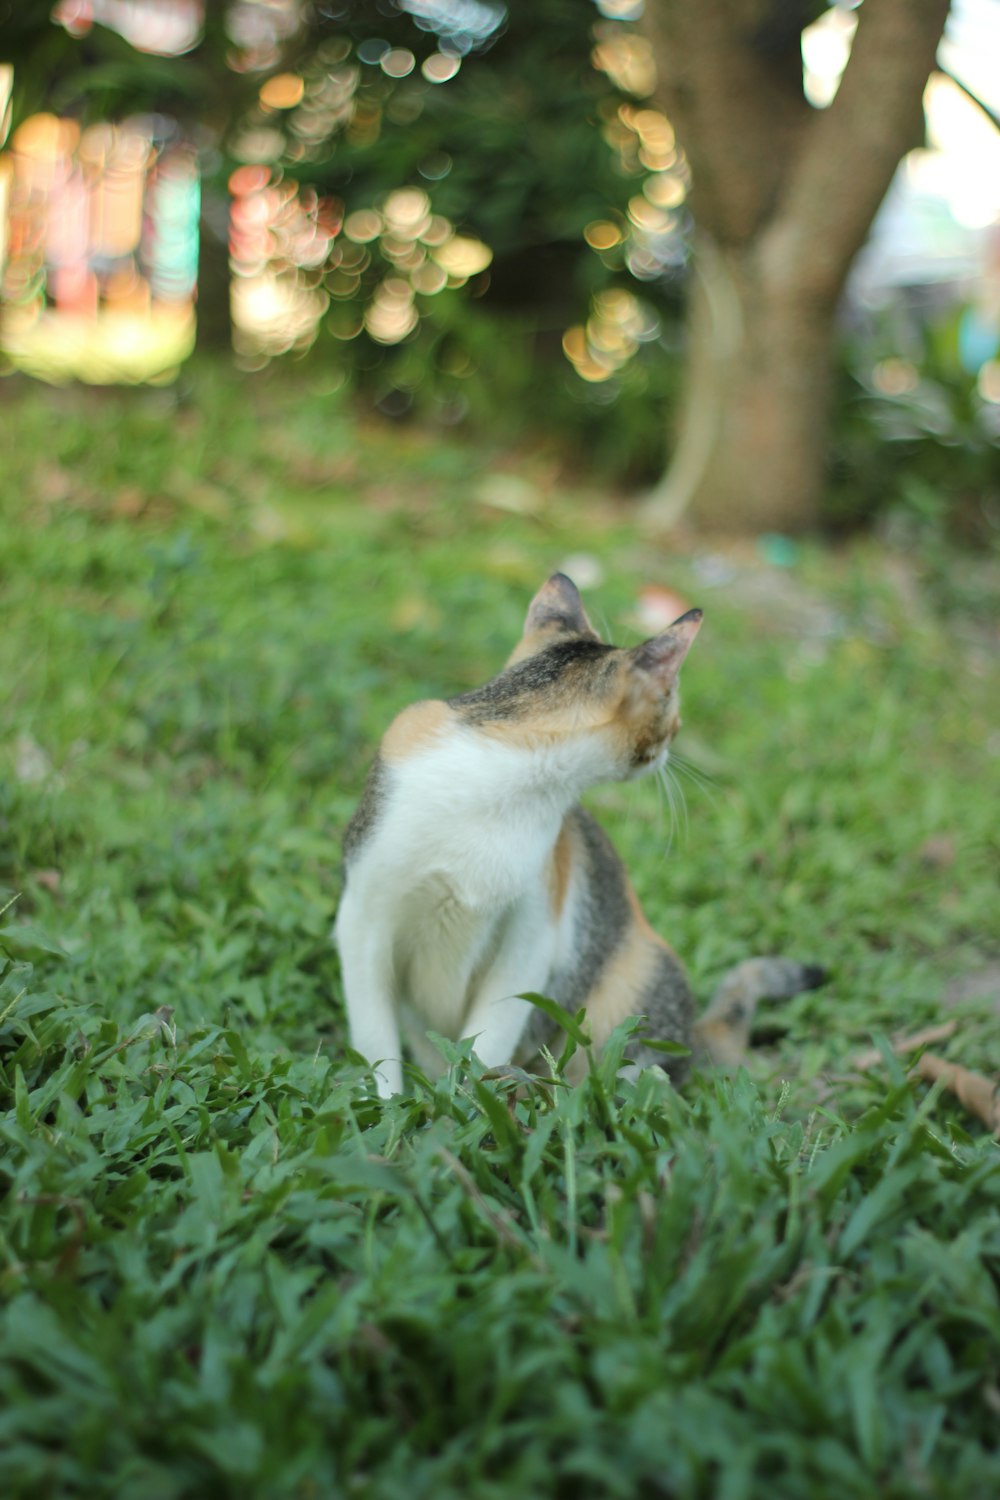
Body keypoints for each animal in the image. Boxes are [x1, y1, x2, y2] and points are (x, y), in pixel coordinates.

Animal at [334, 567, 821, 1098]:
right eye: (673, 711)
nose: (676, 737)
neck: (505, 773)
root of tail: (694, 1036)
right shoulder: (363, 918)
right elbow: (376, 1044)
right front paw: (390, 1104)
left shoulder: (531, 935)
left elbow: (488, 1040)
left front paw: (467, 1102)